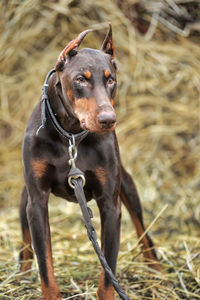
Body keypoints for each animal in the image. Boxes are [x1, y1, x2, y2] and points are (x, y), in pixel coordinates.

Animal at [19, 25, 161, 300]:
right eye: (80, 79)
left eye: (110, 80)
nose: (108, 120)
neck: (70, 136)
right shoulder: (37, 201)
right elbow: (45, 265)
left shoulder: (110, 205)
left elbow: (109, 271)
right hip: (24, 200)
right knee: (25, 246)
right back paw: (19, 278)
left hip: (127, 187)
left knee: (144, 233)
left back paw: (158, 274)